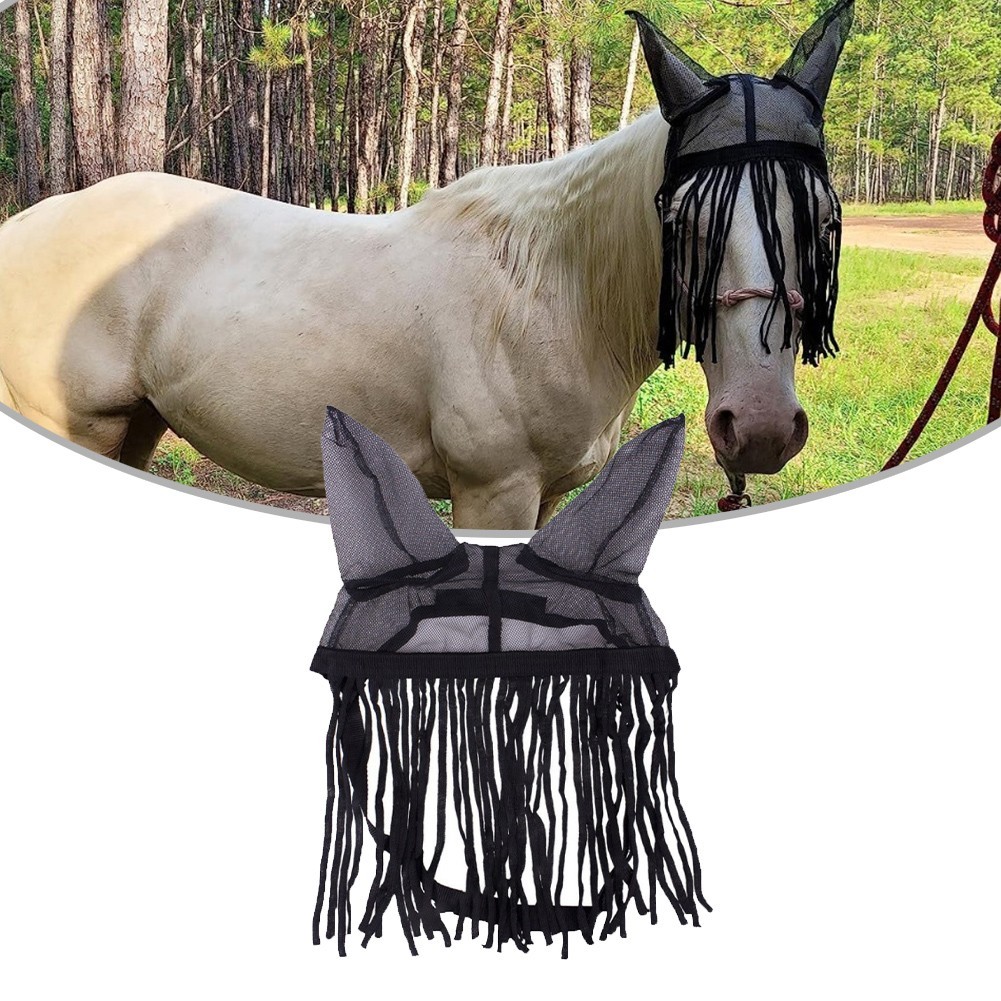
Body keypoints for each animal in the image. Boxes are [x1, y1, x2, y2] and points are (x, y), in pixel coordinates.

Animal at [0, 6, 852, 530]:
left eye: (824, 220)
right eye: (680, 221)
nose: (760, 426)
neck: (549, 294)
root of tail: (24, 227)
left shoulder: (543, 497)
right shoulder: (492, 494)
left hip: (137, 424)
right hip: (77, 423)